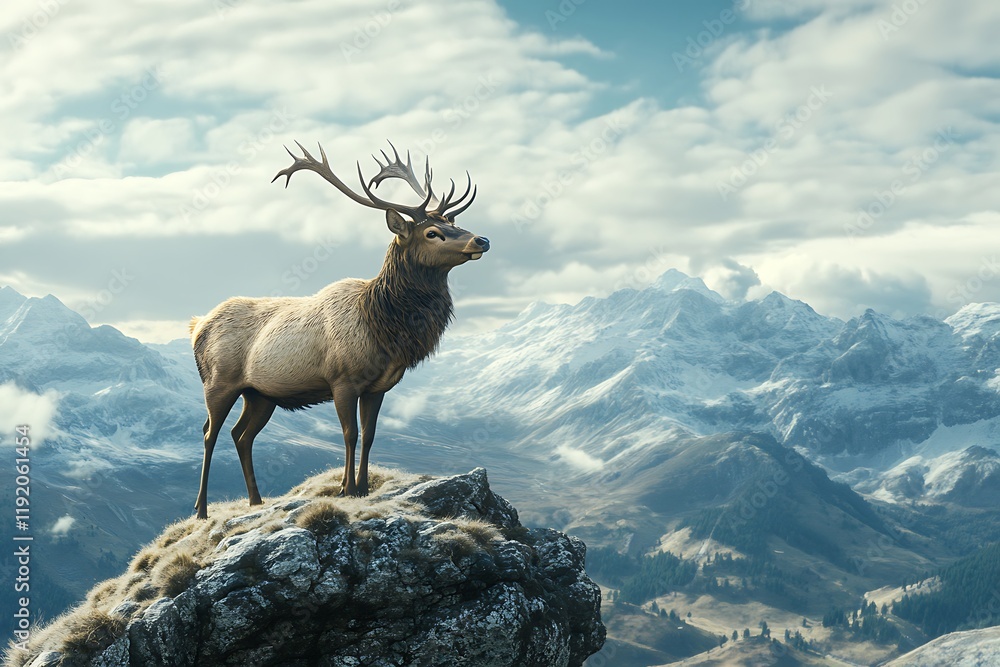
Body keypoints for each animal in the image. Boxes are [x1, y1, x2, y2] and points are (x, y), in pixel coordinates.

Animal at [189, 141, 489, 519]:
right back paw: (200, 510)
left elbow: (370, 434)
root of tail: (196, 326)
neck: (384, 328)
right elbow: (349, 434)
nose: (482, 240)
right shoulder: (342, 380)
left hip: (259, 394)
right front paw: (347, 489)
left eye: (454, 222)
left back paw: (255, 500)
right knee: (208, 433)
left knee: (241, 435)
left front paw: (362, 488)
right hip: (218, 382)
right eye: (432, 233)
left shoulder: (378, 387)